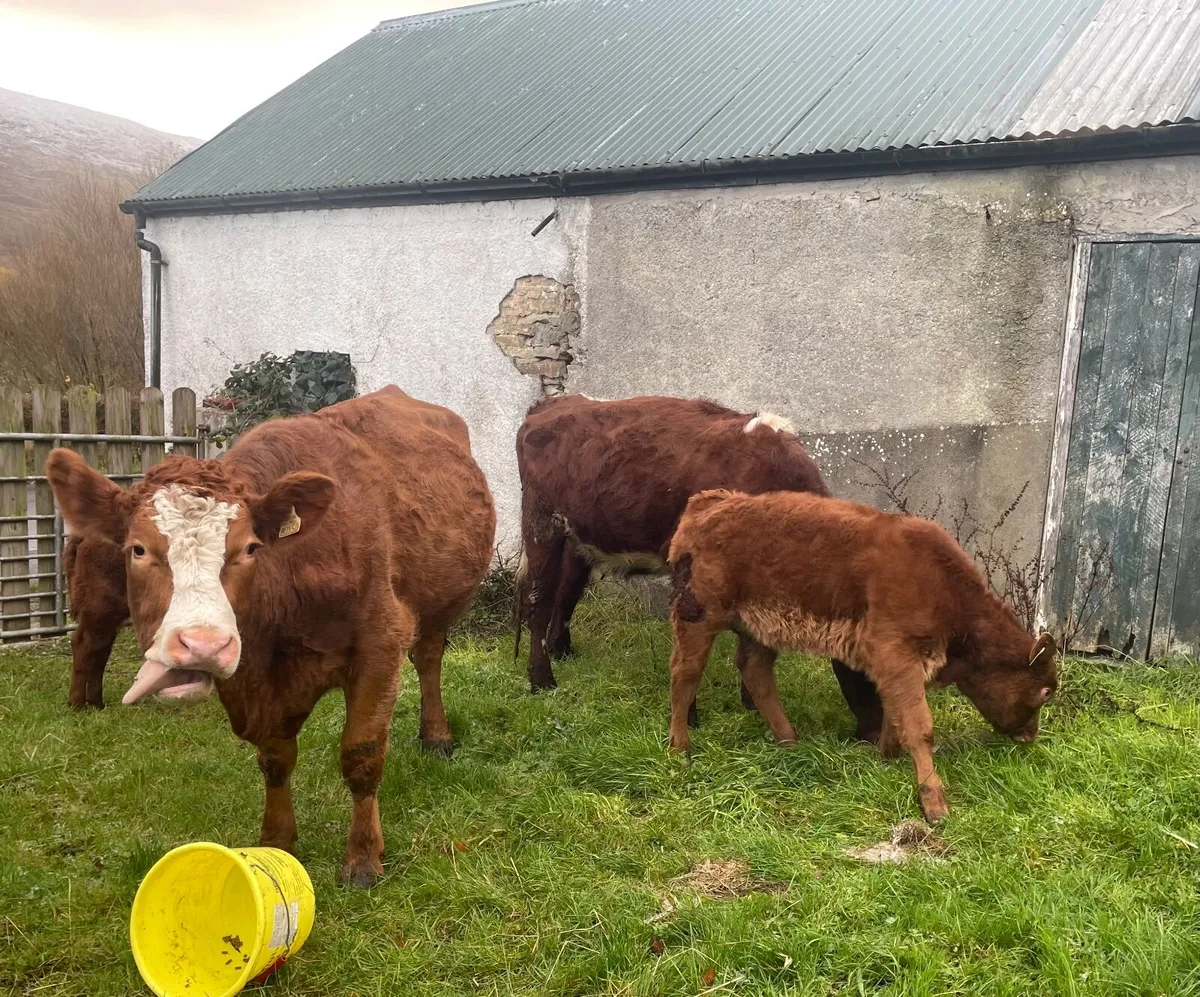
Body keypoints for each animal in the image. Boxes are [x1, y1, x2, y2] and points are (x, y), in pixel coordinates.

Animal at [513, 394, 884, 743]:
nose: (881, 743)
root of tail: (551, 404)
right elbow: (690, 650)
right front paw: (690, 718)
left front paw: (751, 704)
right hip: (542, 525)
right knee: (538, 602)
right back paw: (541, 680)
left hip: (578, 539)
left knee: (565, 594)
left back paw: (562, 652)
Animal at [666, 489, 1059, 823]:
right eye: (1045, 691)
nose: (1030, 736)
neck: (945, 589)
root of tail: (707, 503)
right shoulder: (898, 655)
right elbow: (919, 725)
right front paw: (934, 804)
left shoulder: (891, 665)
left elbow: (894, 712)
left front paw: (886, 756)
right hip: (698, 617)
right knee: (685, 674)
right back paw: (680, 751)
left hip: (757, 631)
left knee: (755, 672)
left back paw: (789, 741)